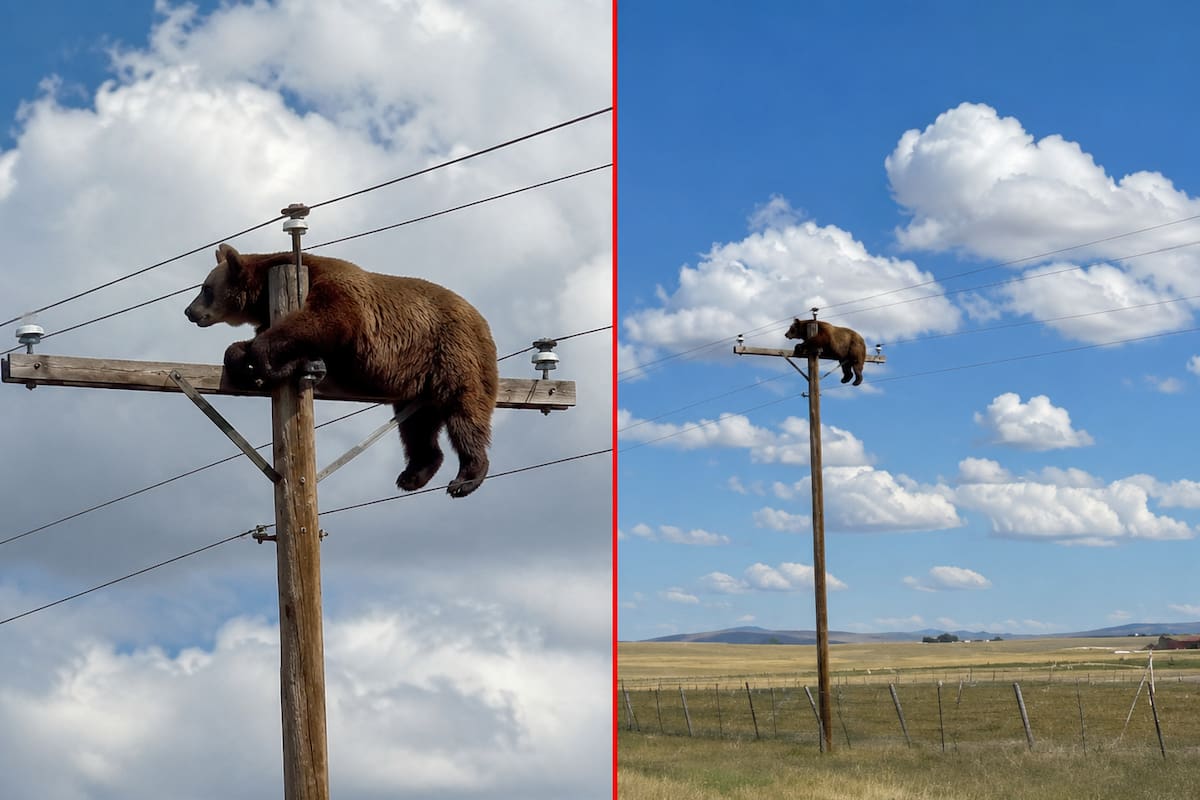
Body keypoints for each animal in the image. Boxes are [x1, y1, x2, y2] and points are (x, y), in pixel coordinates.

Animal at [185, 244, 499, 498]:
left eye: (205, 288)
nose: (189, 311)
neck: (263, 295)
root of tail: (482, 320)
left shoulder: (336, 291)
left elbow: (324, 320)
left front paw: (263, 359)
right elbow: (261, 342)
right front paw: (242, 358)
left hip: (453, 351)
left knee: (464, 411)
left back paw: (466, 478)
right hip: (417, 379)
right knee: (417, 426)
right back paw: (413, 474)